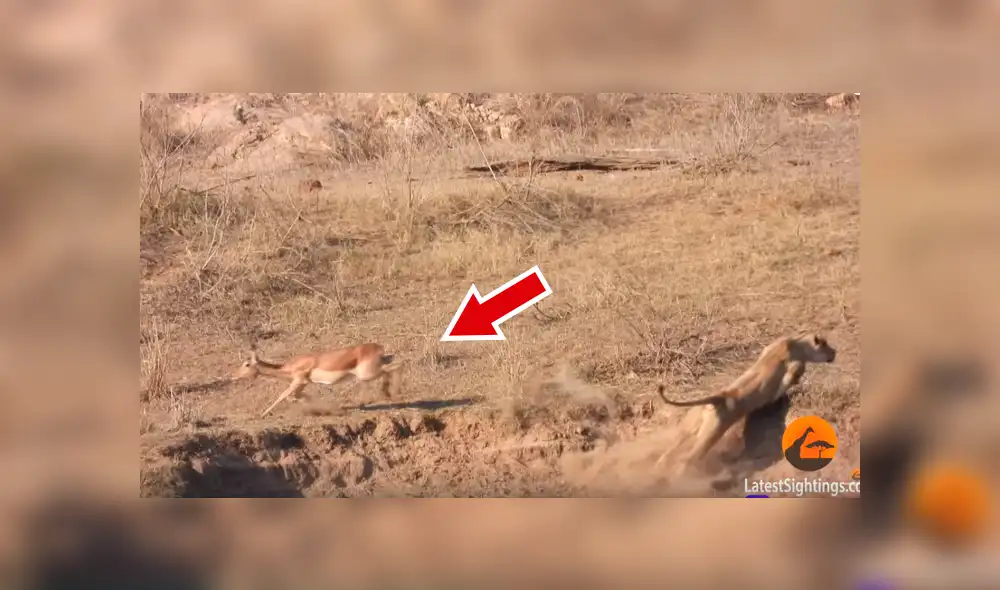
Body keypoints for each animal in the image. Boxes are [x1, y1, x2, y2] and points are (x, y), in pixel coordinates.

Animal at [656, 333, 837, 467]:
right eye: (826, 345)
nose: (835, 352)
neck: (797, 344)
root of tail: (720, 397)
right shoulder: (795, 367)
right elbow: (785, 384)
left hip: (688, 429)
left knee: (668, 452)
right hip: (710, 436)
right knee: (686, 460)